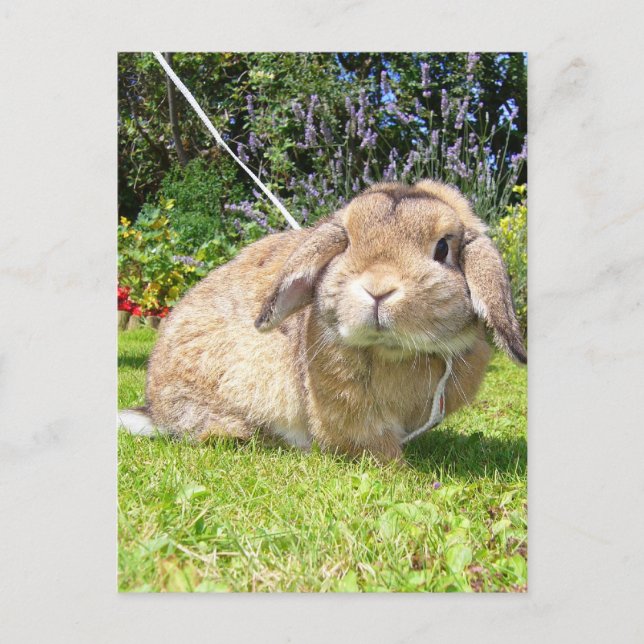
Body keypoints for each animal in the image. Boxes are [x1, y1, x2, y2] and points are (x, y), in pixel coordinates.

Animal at [118, 180, 526, 463]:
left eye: (442, 248)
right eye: (347, 244)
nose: (377, 289)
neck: (394, 351)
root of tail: (155, 410)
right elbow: (374, 445)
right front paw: (398, 468)